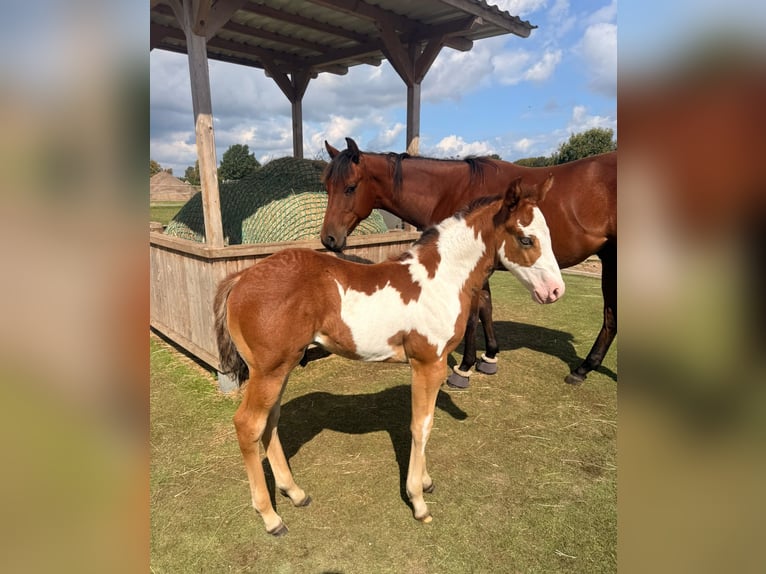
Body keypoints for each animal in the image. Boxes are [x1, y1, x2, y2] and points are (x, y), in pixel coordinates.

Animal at [214, 176, 564, 536]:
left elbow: (425, 422)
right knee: (248, 425)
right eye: (526, 238)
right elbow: (421, 426)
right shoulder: (428, 365)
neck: (440, 280)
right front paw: (418, 501)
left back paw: (295, 492)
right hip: (269, 370)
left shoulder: (435, 366)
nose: (555, 291)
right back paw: (271, 517)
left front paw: (425, 481)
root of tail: (240, 278)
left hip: (281, 367)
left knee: (270, 422)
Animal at [321, 138, 616, 387]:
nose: (329, 238)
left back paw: (583, 368)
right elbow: (486, 307)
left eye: (350, 187)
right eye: (327, 186)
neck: (450, 190)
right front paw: (490, 357)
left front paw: (464, 367)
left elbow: (473, 315)